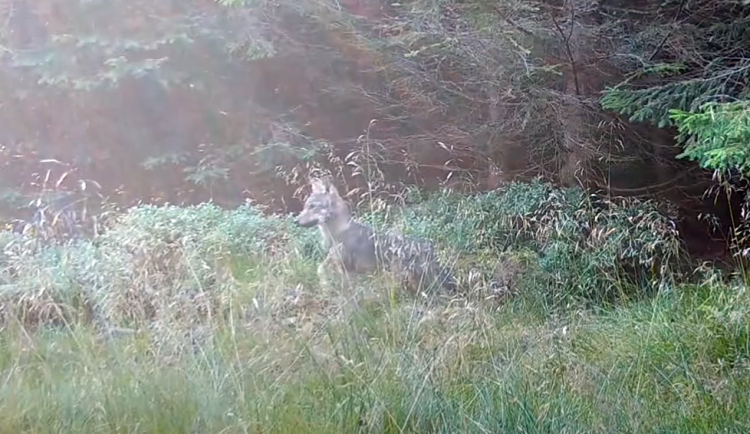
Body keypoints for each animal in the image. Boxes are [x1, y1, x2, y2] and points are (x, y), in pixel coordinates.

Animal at [296, 176, 458, 294]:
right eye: (304, 206)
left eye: (312, 207)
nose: (295, 220)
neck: (338, 231)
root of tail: (432, 252)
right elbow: (322, 270)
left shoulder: (343, 266)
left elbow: (321, 270)